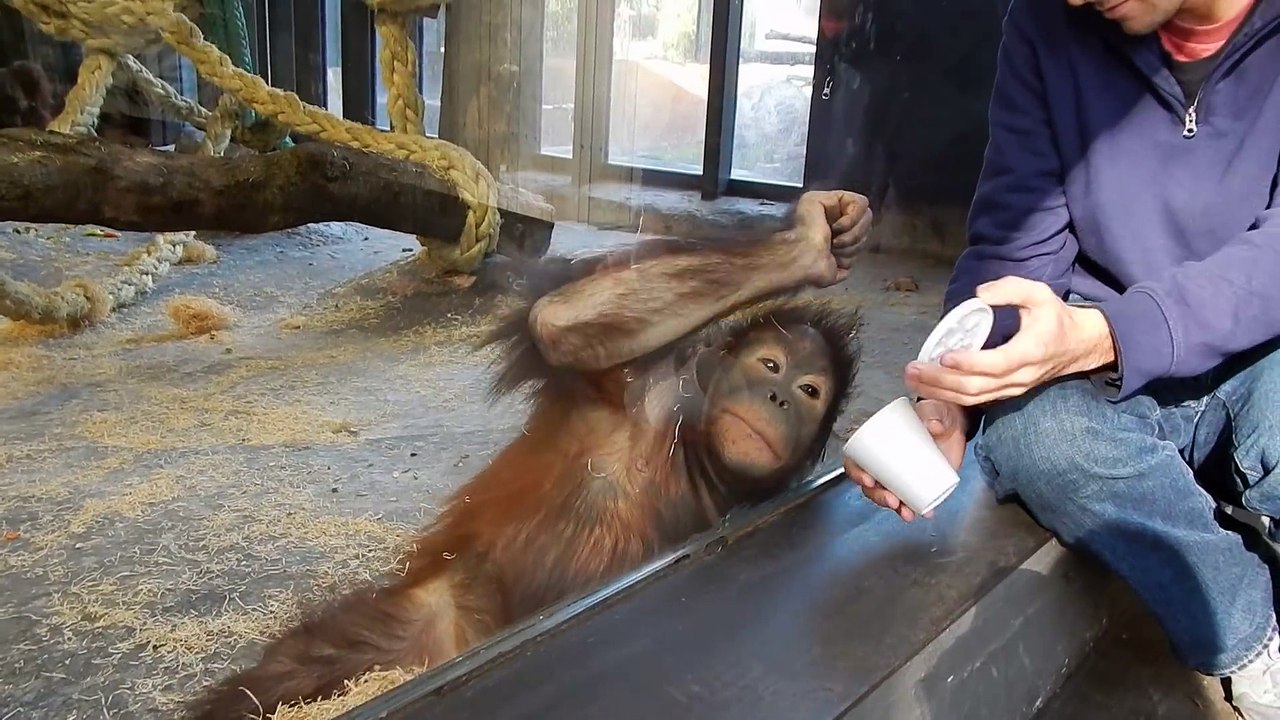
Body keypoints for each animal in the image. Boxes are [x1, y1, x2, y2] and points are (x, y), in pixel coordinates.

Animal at [186, 189, 873, 719]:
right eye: (770, 365)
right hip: (420, 621)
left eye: (810, 391)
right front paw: (809, 241)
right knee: (291, 672)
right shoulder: (639, 389)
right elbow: (560, 323)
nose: (778, 397)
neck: (693, 460)